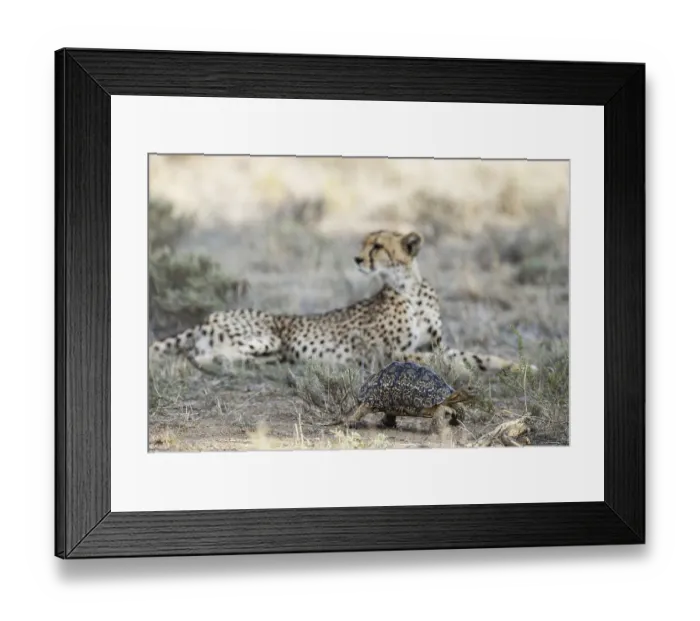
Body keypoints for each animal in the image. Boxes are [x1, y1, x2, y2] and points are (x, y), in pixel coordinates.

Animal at [148, 230, 532, 375]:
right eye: (364, 243)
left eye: (377, 246)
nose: (358, 259)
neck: (410, 288)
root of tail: (208, 316)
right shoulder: (387, 354)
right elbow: (431, 359)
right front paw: (463, 370)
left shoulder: (437, 343)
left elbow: (475, 354)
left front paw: (519, 366)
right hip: (266, 335)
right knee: (198, 355)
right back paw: (227, 364)